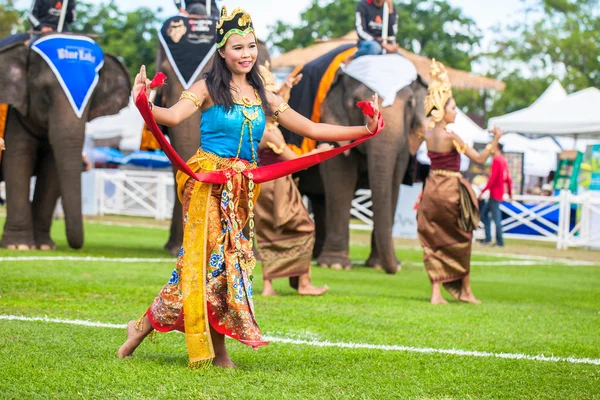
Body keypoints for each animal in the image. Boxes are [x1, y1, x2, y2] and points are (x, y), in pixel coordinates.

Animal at [0, 39, 132, 248]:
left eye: (92, 98)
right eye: (45, 95)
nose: (77, 246)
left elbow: (52, 168)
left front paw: (45, 246)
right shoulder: (15, 115)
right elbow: (18, 161)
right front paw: (19, 246)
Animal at [304, 72, 426, 276]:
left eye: (410, 103)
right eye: (356, 102)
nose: (397, 267)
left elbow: (393, 183)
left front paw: (377, 265)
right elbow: (340, 179)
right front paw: (335, 265)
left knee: (319, 200)